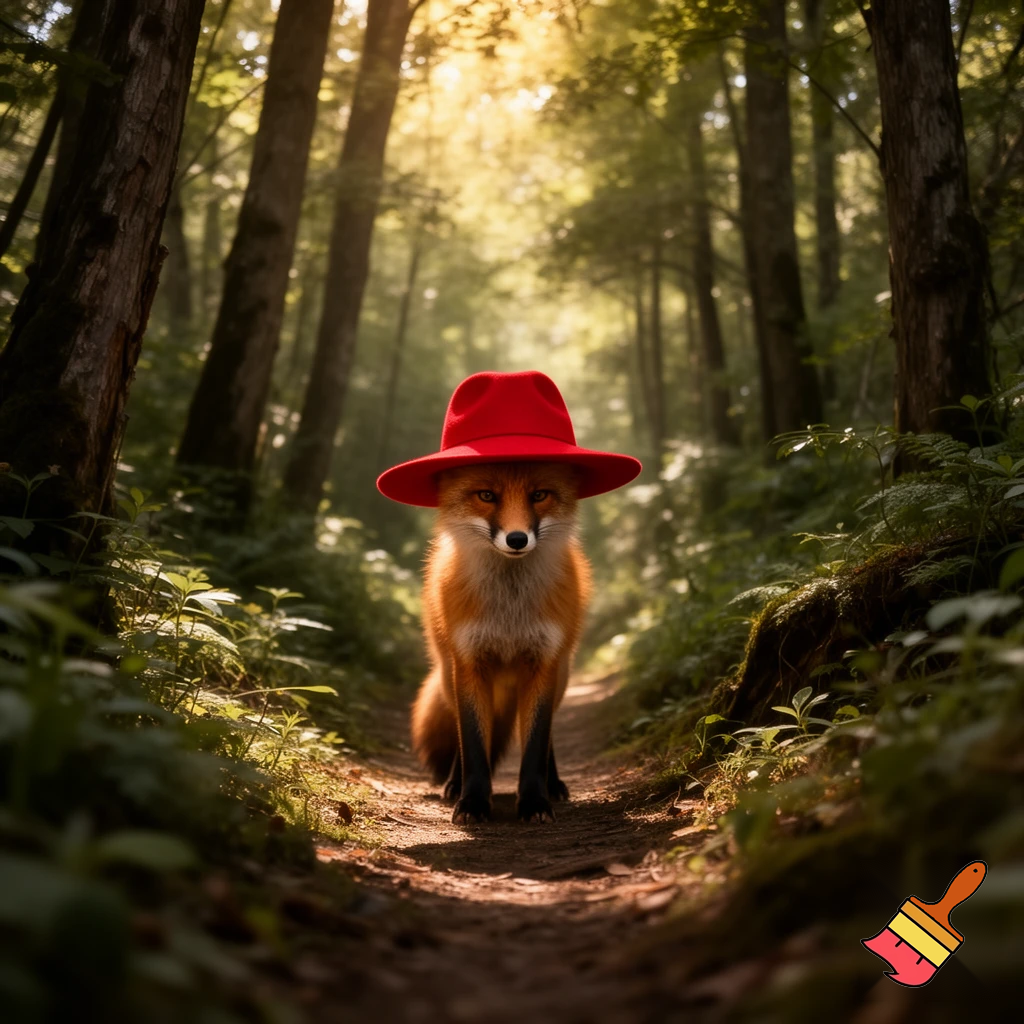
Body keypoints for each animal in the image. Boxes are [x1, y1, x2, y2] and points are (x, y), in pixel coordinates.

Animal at [411, 460, 592, 824]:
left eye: (539, 495)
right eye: (486, 496)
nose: (517, 539)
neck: (509, 617)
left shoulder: (543, 662)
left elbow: (536, 744)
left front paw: (535, 802)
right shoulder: (470, 663)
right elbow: (473, 743)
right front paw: (473, 802)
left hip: (561, 678)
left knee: (548, 737)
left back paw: (554, 784)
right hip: (449, 679)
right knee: (460, 733)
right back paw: (454, 783)